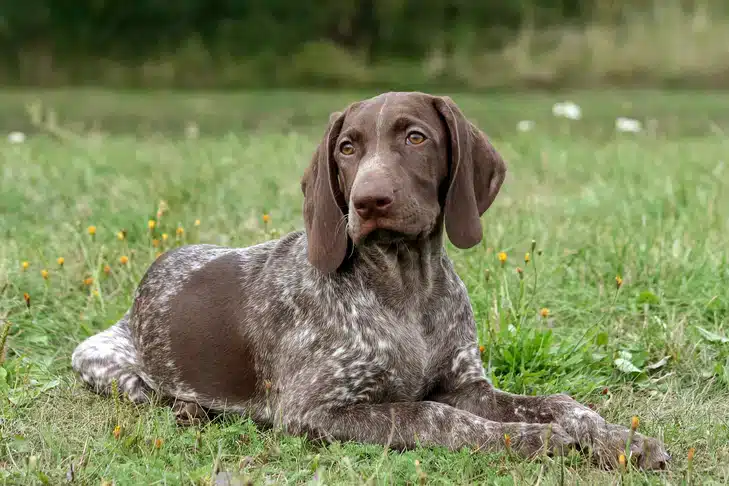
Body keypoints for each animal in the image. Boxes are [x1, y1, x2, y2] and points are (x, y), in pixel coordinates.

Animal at [71, 89, 668, 468]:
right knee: (148, 392)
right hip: (98, 359)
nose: (368, 200)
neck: (406, 288)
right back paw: (189, 407)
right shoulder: (314, 410)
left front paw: (619, 439)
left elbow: (563, 403)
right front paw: (534, 439)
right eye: (347, 147)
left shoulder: (468, 385)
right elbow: (434, 416)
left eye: (416, 138)